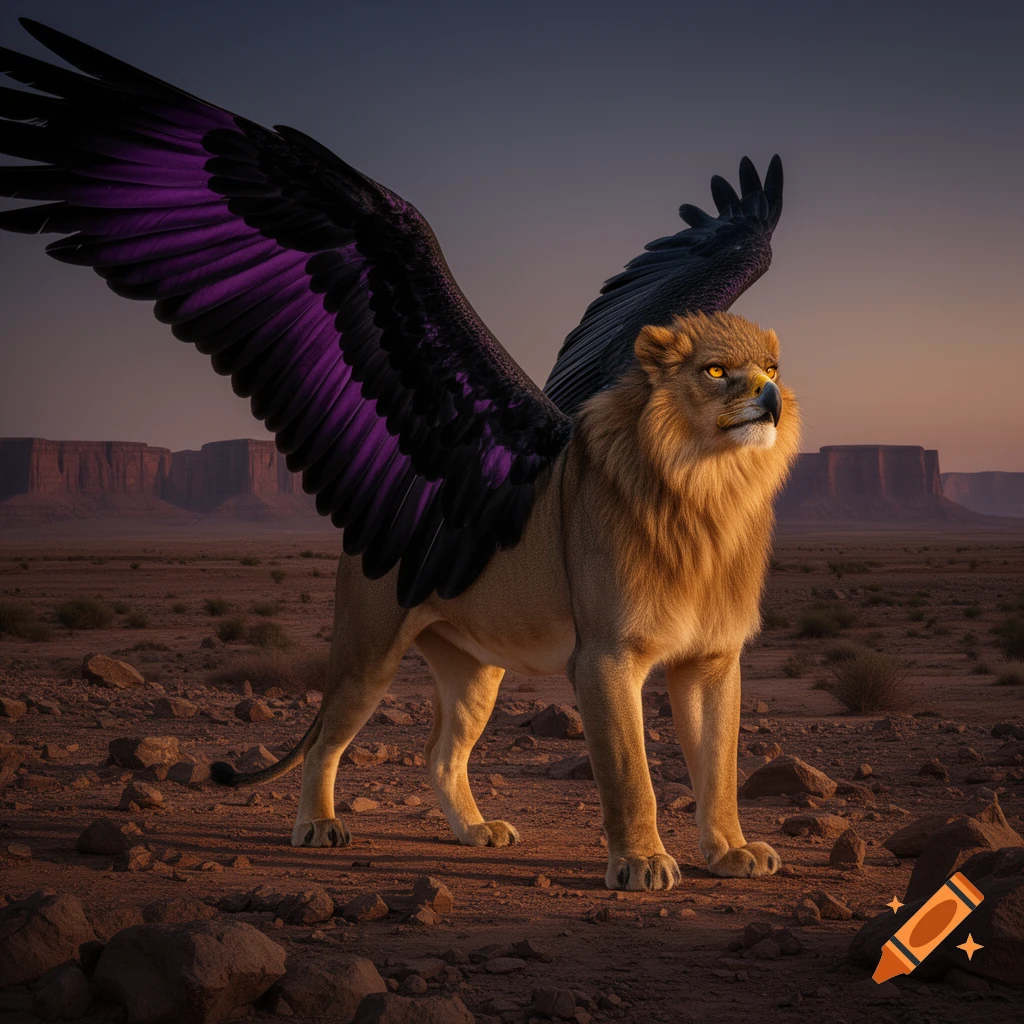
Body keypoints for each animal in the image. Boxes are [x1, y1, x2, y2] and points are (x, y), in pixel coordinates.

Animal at [0, 21, 796, 890]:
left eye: (773, 365)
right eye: (714, 372)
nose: (769, 399)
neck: (707, 488)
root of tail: (375, 530)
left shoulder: (713, 659)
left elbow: (717, 766)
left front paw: (732, 850)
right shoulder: (606, 657)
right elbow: (629, 773)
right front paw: (643, 863)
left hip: (477, 668)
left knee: (439, 753)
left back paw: (475, 831)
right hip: (368, 652)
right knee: (328, 741)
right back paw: (317, 828)